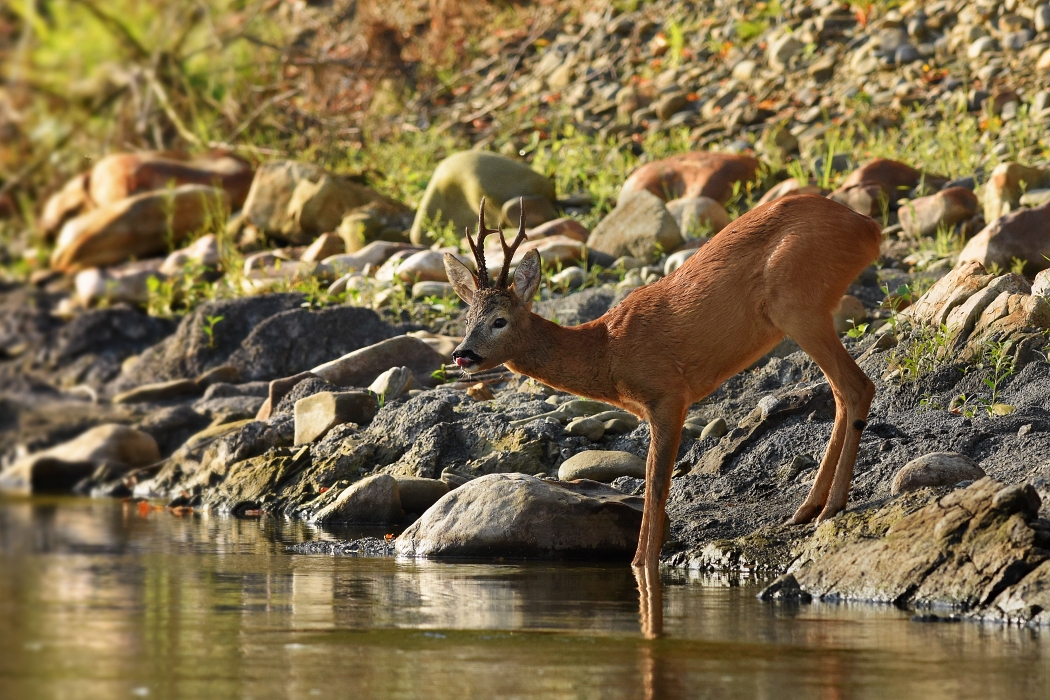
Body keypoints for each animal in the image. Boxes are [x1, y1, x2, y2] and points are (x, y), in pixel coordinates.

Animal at [445, 193, 886, 570]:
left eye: (499, 320)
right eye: (468, 318)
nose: (462, 354)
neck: (606, 349)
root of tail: (868, 227)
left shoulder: (669, 395)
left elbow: (656, 486)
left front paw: (641, 565)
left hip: (798, 303)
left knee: (858, 386)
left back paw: (831, 508)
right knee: (841, 392)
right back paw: (807, 509)